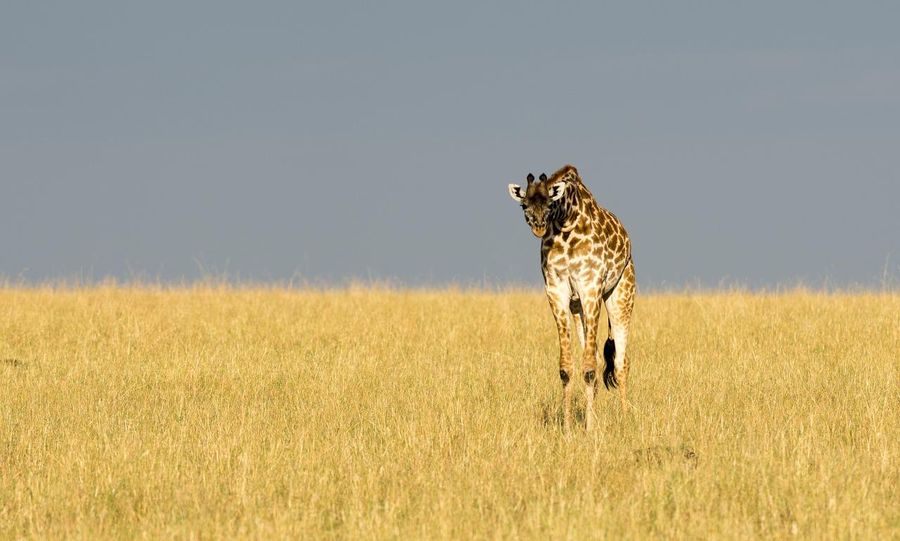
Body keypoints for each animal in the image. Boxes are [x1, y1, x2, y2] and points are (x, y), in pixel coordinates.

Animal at [508, 165, 635, 432]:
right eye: (524, 205)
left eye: (549, 202)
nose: (538, 226)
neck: (565, 223)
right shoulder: (556, 290)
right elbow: (567, 368)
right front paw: (567, 428)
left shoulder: (590, 287)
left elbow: (589, 369)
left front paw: (589, 429)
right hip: (578, 308)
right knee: (597, 357)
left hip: (621, 293)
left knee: (621, 362)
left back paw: (625, 417)